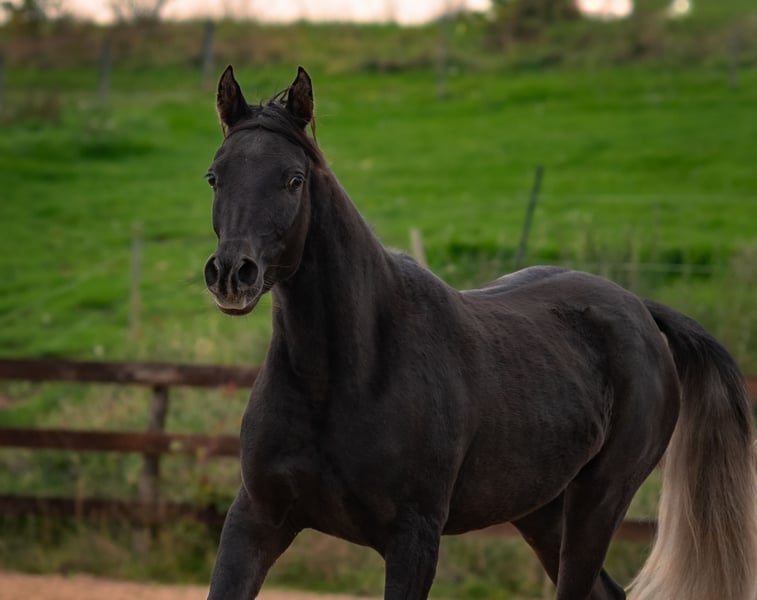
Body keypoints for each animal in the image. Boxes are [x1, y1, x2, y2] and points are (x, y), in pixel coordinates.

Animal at [202, 66, 757, 600]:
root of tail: (640, 309)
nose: (232, 274)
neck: (348, 373)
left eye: (293, 179)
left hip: (599, 500)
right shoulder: (256, 520)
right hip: (541, 510)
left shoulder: (414, 538)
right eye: (214, 177)